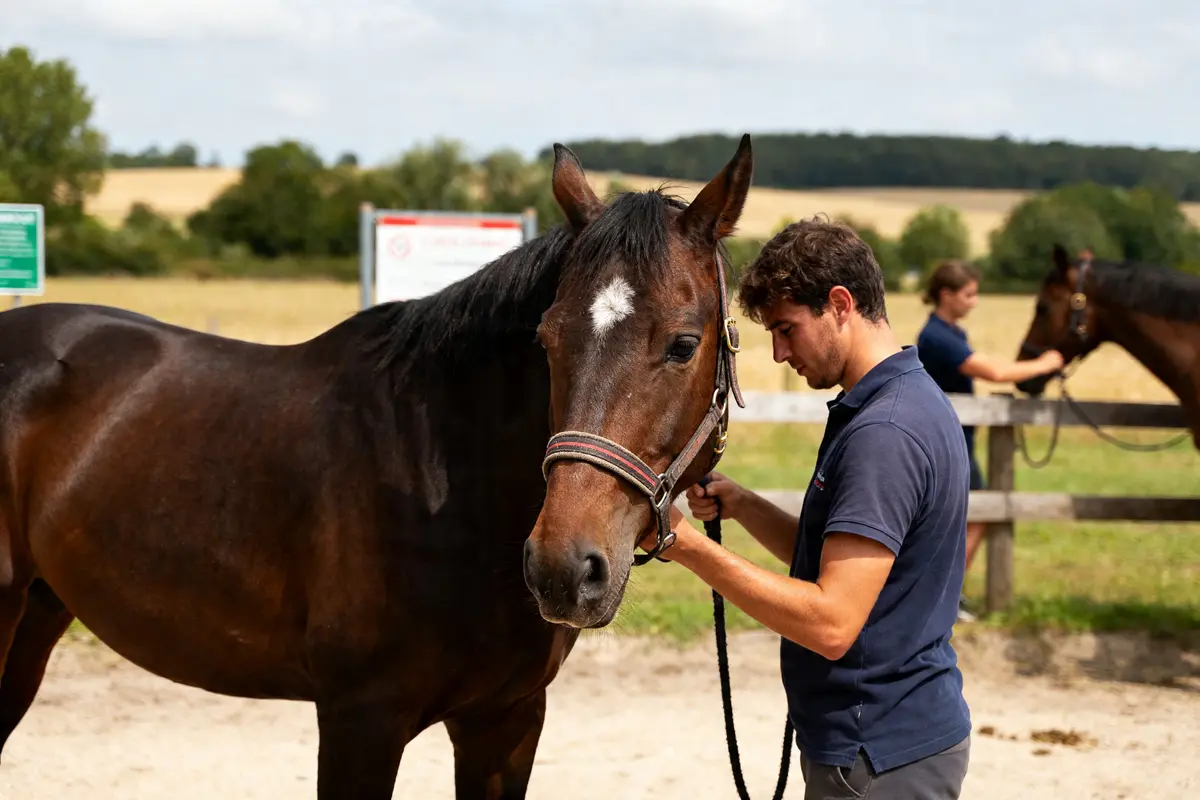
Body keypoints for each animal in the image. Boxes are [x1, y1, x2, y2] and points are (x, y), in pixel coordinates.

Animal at [0, 134, 755, 798]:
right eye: (546, 340)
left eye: (683, 344)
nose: (564, 569)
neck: (442, 481)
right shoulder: (359, 722)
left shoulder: (505, 722)